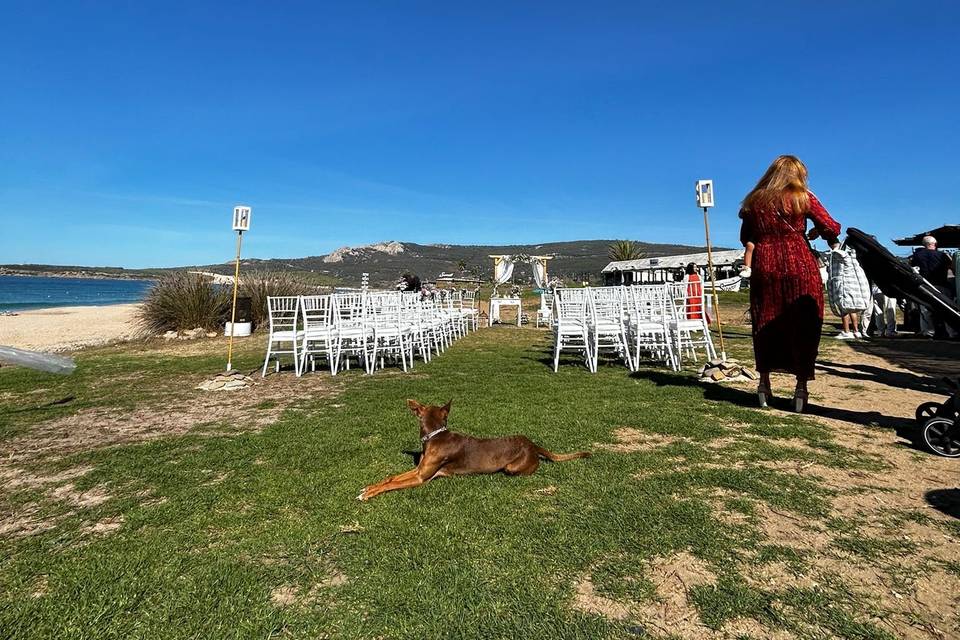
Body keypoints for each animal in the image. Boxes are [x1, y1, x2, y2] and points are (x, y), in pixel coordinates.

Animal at [356, 400, 588, 500]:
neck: (435, 436)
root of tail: (532, 443)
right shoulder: (419, 470)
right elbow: (391, 478)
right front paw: (369, 487)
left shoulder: (421, 477)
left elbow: (392, 485)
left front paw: (369, 494)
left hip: (512, 468)